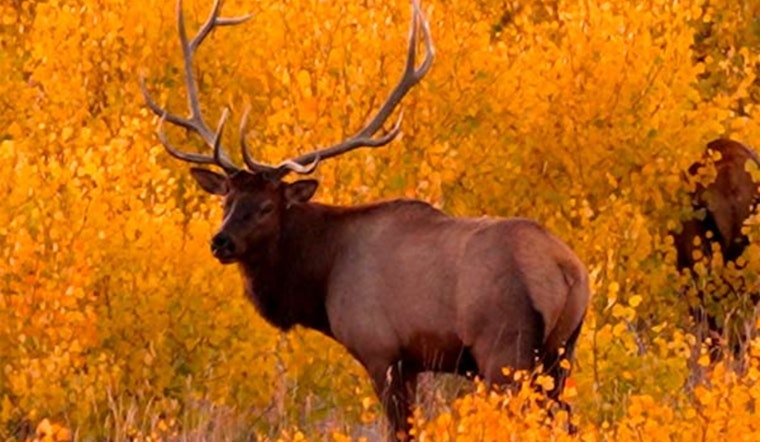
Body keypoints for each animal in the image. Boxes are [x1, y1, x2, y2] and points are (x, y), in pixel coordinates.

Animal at [141, 0, 590, 439]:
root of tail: (565, 270)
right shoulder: (413, 362)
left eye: (268, 206)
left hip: (504, 348)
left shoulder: (382, 351)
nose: (221, 241)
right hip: (560, 354)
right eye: (226, 201)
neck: (321, 279)